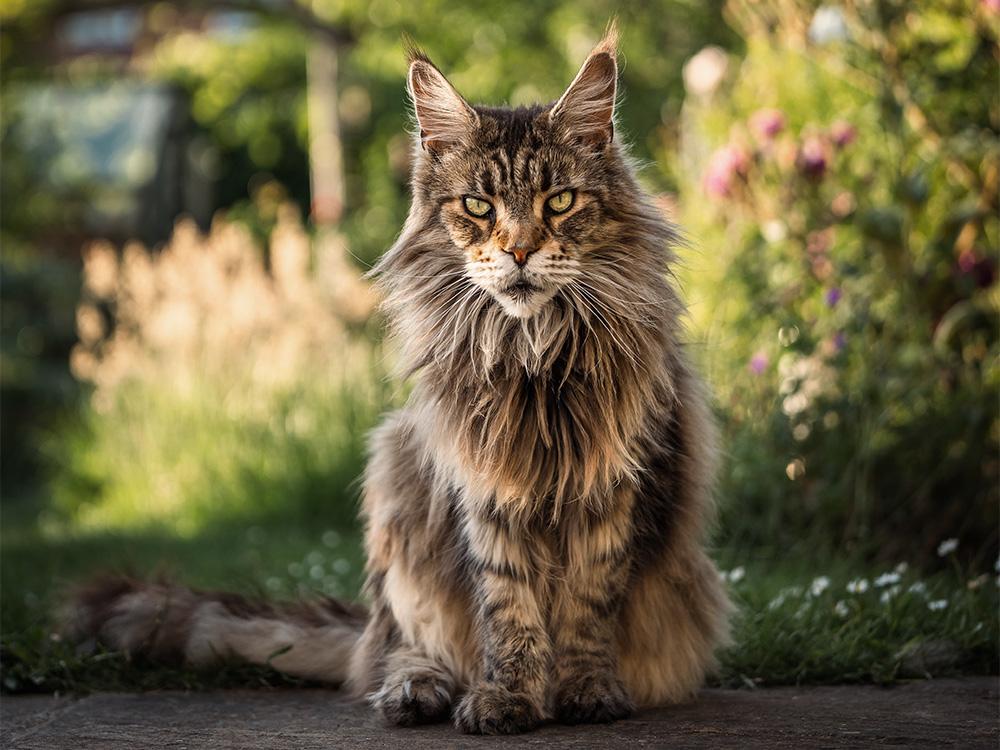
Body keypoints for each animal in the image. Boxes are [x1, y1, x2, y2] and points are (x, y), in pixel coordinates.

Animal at [66, 26, 732, 736]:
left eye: (559, 202)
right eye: (478, 206)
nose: (520, 251)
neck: (530, 353)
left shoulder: (619, 486)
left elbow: (586, 606)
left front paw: (585, 692)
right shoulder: (483, 489)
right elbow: (509, 612)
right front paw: (509, 699)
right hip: (395, 475)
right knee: (405, 647)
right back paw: (416, 692)